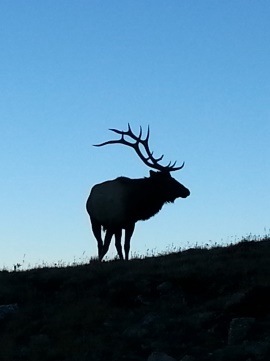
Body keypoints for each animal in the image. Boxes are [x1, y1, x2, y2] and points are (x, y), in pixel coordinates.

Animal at [86, 124, 190, 258]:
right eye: (168, 180)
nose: (187, 191)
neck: (134, 203)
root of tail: (90, 195)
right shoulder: (113, 223)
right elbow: (106, 247)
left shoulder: (130, 224)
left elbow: (126, 246)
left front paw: (125, 260)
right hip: (94, 220)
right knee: (100, 244)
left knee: (115, 244)